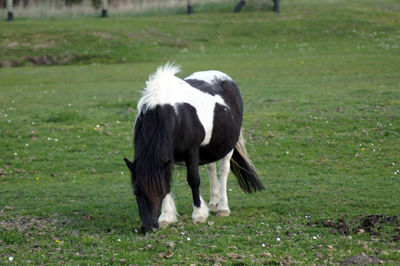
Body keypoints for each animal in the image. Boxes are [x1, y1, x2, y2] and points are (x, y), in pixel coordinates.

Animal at [123, 62, 264, 233]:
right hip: (211, 147)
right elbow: (168, 180)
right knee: (211, 168)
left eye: (159, 192)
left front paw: (198, 214)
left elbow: (193, 180)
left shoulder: (192, 151)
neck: (168, 111)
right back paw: (213, 204)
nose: (148, 227)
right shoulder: (169, 156)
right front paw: (166, 217)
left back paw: (223, 208)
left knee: (223, 170)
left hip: (228, 146)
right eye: (136, 192)